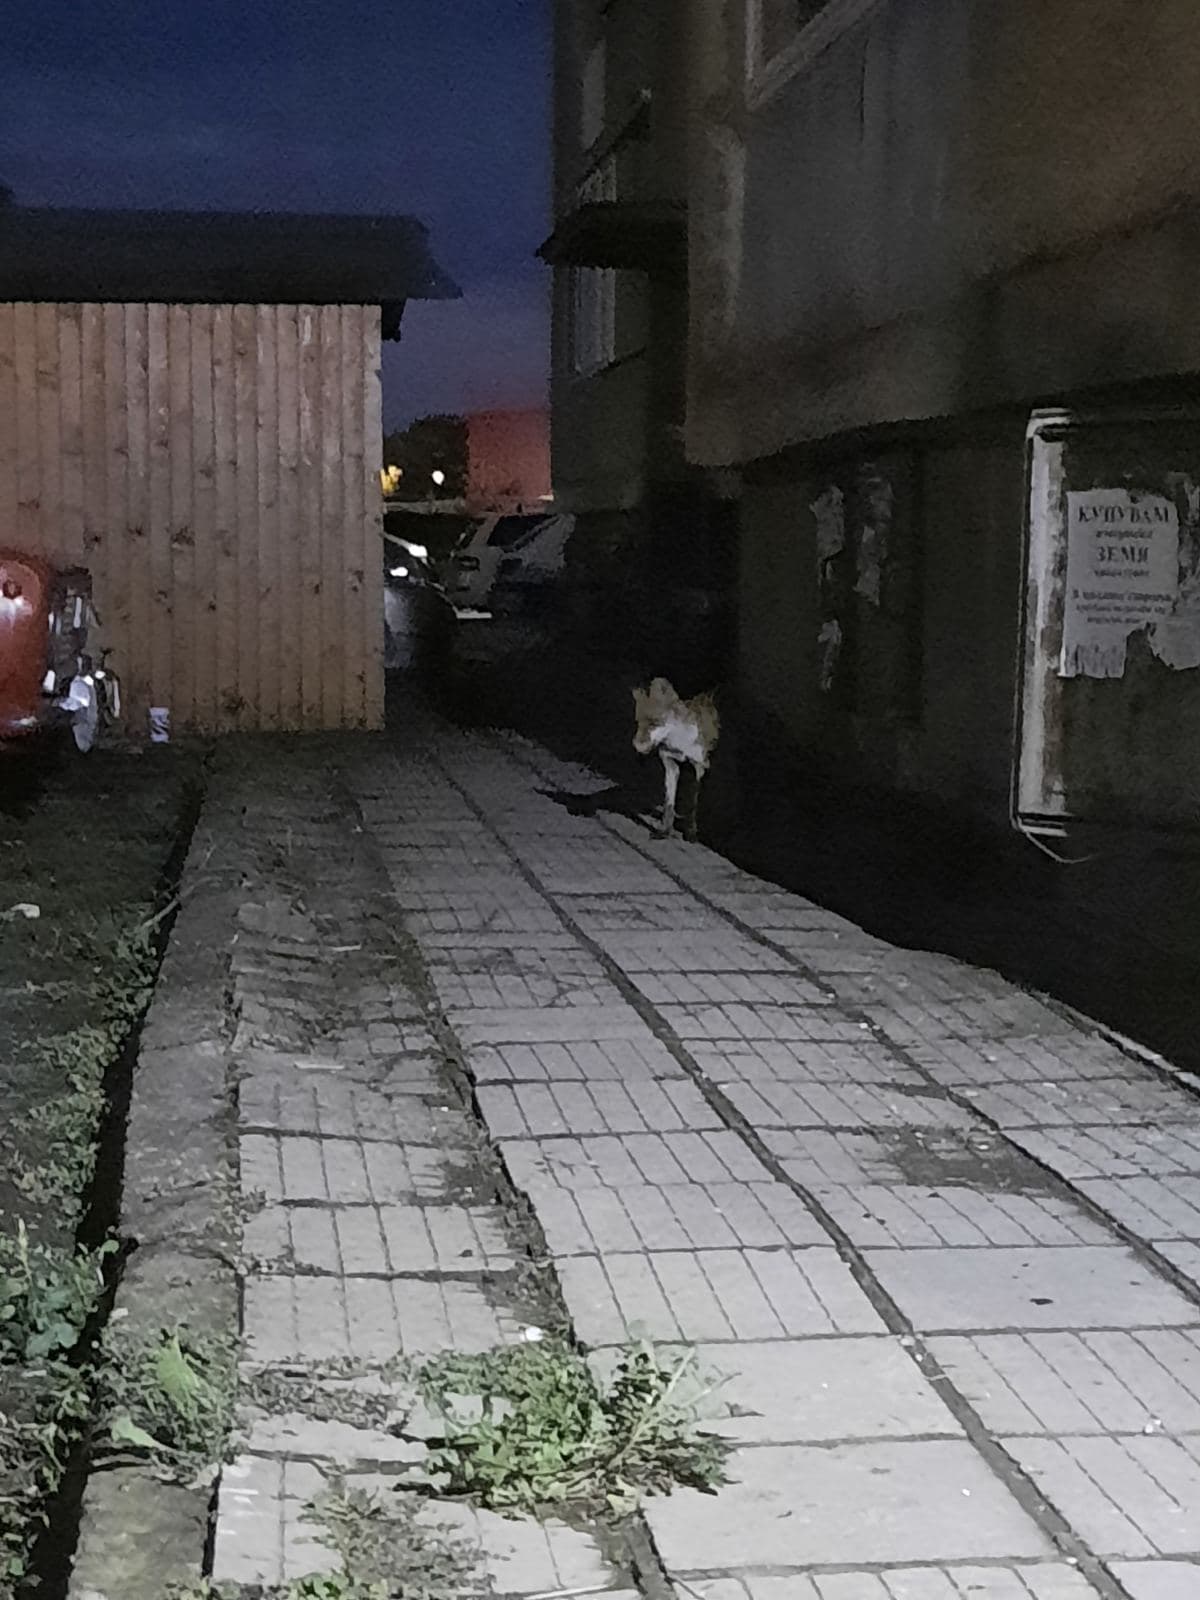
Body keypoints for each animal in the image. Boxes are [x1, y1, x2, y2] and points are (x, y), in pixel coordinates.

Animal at [631, 677, 720, 840]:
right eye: (638, 722)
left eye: (654, 722)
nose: (637, 745)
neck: (680, 743)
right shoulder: (669, 760)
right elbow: (669, 801)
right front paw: (665, 831)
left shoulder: (699, 766)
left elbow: (692, 799)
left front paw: (690, 832)